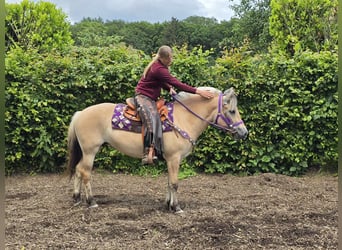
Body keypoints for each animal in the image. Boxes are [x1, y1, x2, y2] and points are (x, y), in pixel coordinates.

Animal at [66, 87, 248, 213]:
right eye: (232, 111)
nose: (244, 133)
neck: (183, 118)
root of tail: (81, 113)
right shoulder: (174, 158)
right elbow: (174, 183)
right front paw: (176, 207)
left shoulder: (170, 160)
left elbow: (168, 182)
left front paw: (168, 204)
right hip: (90, 151)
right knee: (85, 172)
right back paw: (91, 201)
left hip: (86, 152)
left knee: (78, 170)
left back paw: (77, 198)